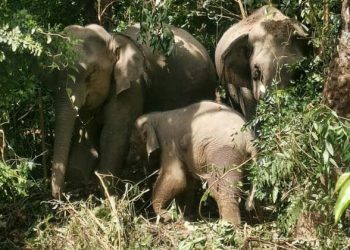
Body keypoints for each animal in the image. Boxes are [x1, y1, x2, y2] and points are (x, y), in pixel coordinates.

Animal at [50, 23, 216, 199]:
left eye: (91, 74)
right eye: (53, 73)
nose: (59, 195)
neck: (113, 39)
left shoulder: (132, 87)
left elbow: (114, 135)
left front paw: (108, 194)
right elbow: (86, 135)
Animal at [127, 100, 256, 226]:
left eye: (133, 145)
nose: (130, 163)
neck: (156, 116)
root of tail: (249, 139)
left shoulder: (168, 142)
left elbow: (176, 178)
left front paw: (167, 216)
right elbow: (188, 182)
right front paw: (184, 217)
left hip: (225, 152)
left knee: (220, 187)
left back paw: (228, 225)